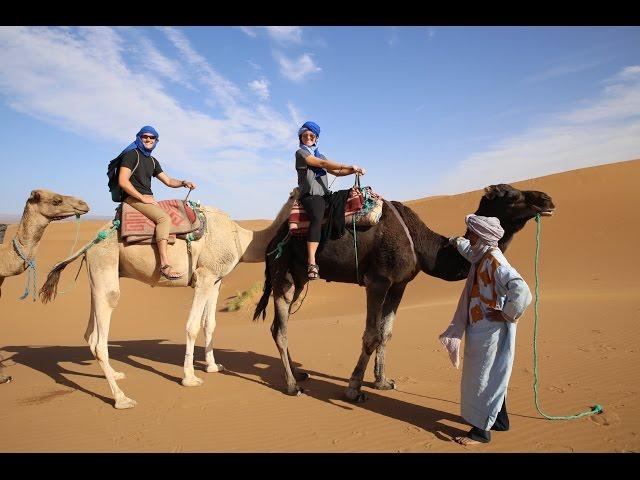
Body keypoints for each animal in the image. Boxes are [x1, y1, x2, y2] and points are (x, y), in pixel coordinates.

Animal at [41, 188, 298, 408]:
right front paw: (190, 378)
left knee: (90, 331)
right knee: (100, 332)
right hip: (105, 264)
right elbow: (192, 326)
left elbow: (210, 324)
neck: (241, 240)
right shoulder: (204, 277)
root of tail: (90, 242)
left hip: (98, 275)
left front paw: (213, 366)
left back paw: (115, 374)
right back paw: (121, 399)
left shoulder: (216, 280)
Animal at [254, 184, 556, 402]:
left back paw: (298, 373)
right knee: (279, 327)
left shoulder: (400, 284)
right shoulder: (378, 280)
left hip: (298, 277)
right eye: (512, 195)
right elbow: (371, 335)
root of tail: (272, 239)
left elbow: (386, 333)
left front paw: (382, 381)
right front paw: (354, 389)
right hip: (282, 271)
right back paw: (292, 386)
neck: (422, 245)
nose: (547, 199)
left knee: (280, 323)